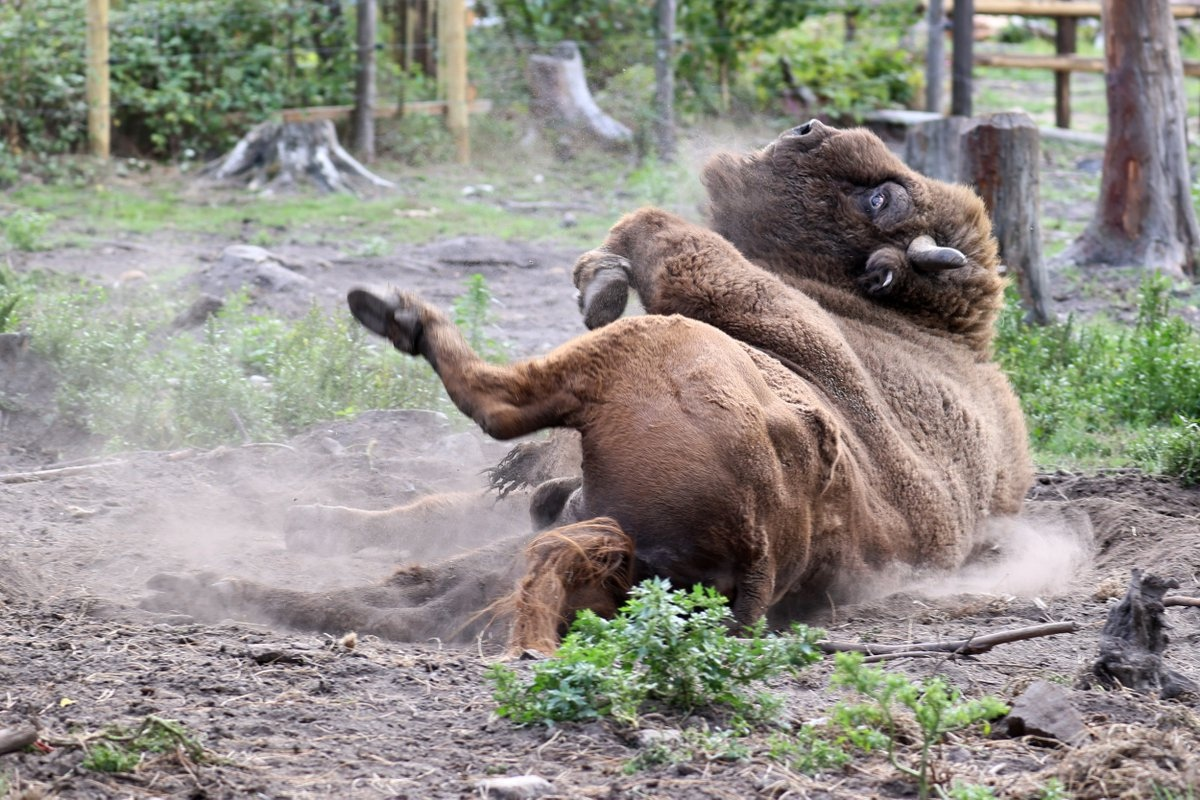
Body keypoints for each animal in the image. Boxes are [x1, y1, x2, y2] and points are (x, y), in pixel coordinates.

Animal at [147, 122, 1032, 652]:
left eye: (881, 195)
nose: (806, 129)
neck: (911, 320)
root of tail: (747, 561)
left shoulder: (747, 305)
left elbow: (656, 228)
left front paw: (602, 282)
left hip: (651, 349)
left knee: (497, 408)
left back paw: (399, 317)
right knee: (408, 599)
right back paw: (198, 583)